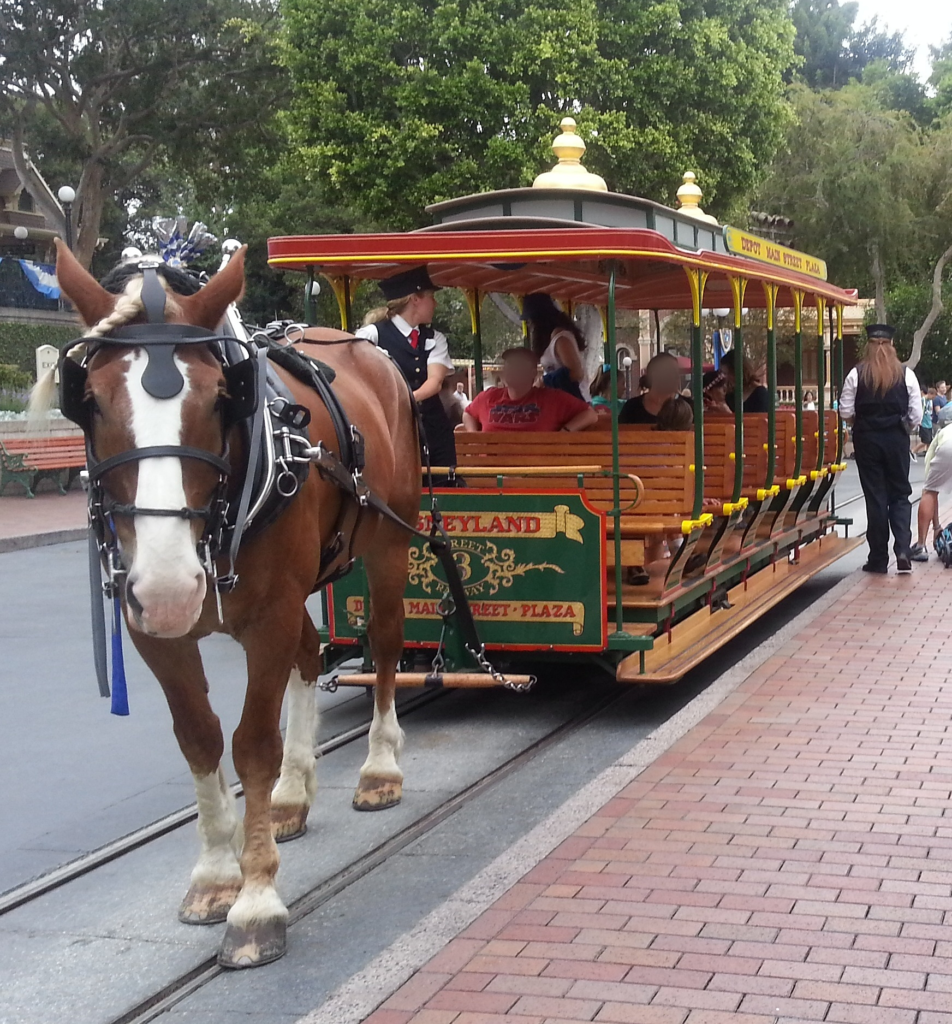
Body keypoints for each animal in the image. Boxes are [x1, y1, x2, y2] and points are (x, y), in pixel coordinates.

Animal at [36, 241, 419, 966]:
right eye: (88, 401)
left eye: (220, 398)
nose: (169, 585)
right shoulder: (155, 633)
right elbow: (200, 739)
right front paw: (217, 876)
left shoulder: (266, 619)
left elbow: (252, 747)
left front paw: (256, 901)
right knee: (310, 653)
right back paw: (293, 796)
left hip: (389, 544)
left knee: (385, 645)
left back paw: (379, 770)